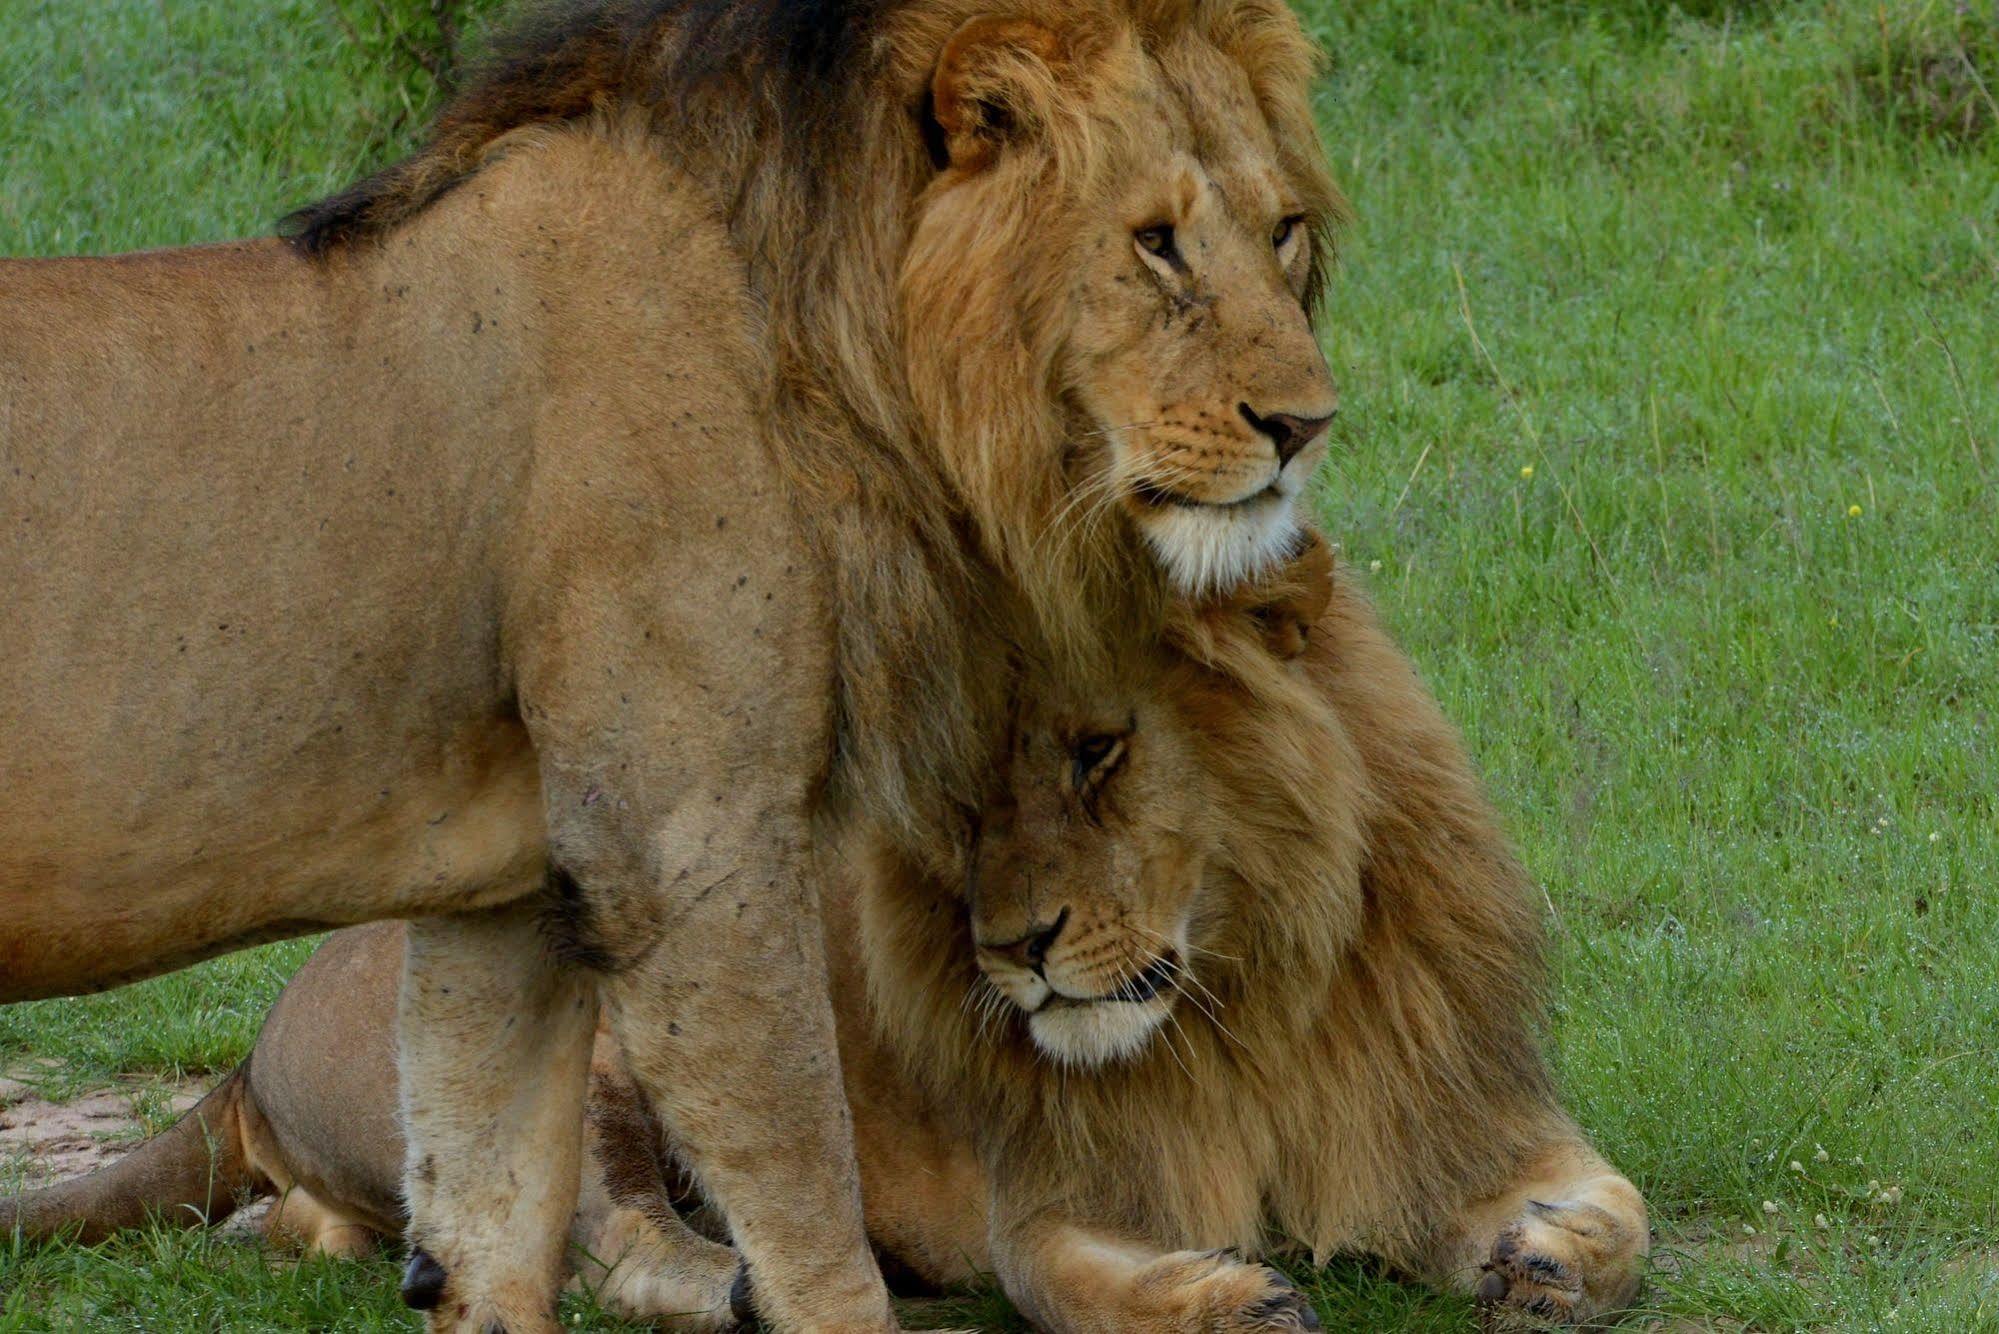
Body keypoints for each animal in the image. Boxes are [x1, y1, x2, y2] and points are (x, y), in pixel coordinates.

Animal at [3, 0, 1343, 1328]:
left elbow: (489, 1216)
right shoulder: (689, 844)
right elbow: (811, 1211)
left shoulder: (509, 896)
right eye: (1156, 243)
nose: (1305, 427)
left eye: (1280, 230)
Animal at [7, 544, 1647, 1328]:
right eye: (964, 798)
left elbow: (1619, 1214)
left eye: (1099, 754)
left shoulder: (1458, 1117)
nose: (1014, 945)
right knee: (604, 1239)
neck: (1249, 995)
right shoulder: (1044, 1190)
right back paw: (728, 1281)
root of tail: (261, 1040)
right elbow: (1068, 1281)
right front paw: (1223, 1296)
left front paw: (1543, 1259)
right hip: (620, 1016)